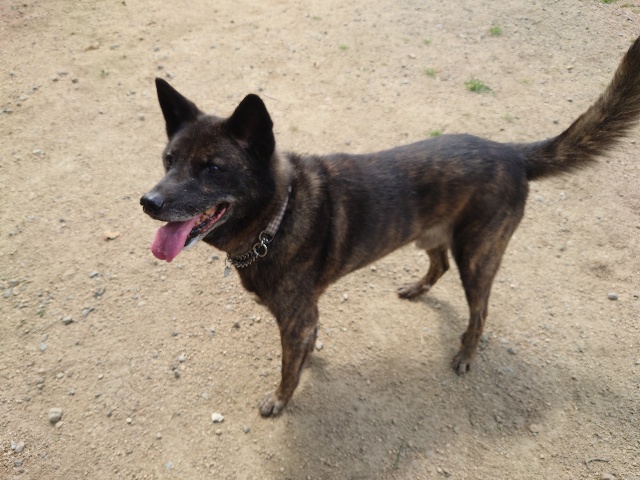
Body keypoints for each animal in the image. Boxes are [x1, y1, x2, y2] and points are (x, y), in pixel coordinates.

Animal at [141, 37, 640, 417]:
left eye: (212, 169)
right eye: (168, 160)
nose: (148, 202)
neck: (279, 215)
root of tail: (512, 153)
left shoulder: (296, 318)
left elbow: (287, 367)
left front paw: (280, 399)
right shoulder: (305, 316)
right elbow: (303, 351)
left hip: (478, 256)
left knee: (479, 310)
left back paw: (465, 355)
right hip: (430, 235)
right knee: (439, 265)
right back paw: (417, 290)